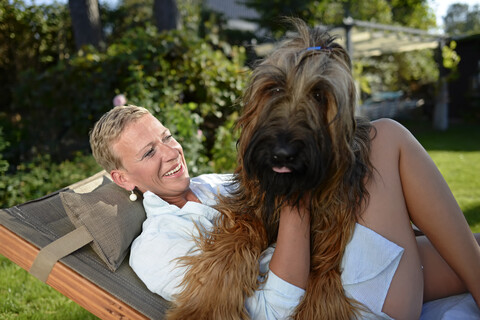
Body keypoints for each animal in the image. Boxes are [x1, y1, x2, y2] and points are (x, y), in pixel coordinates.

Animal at [167, 18, 374, 318]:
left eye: (319, 95)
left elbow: (323, 278)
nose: (282, 154)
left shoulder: (331, 231)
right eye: (274, 88)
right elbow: (233, 245)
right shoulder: (250, 209)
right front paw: (206, 307)